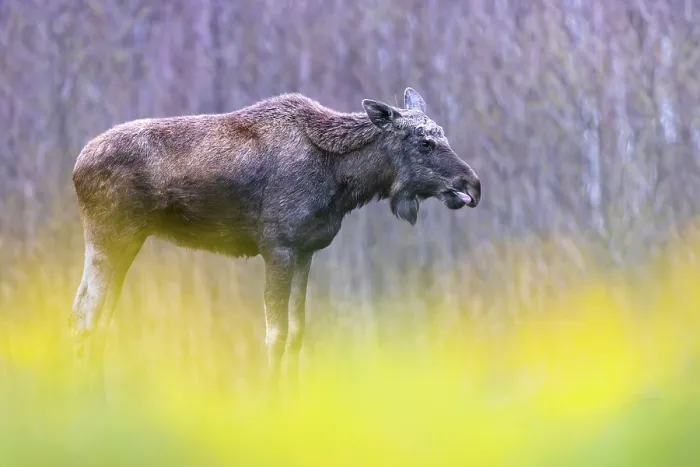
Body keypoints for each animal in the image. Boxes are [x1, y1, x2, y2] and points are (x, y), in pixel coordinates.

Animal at [70, 87, 481, 402]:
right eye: (425, 142)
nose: (472, 185)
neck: (342, 180)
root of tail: (76, 167)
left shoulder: (305, 250)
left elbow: (297, 332)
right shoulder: (278, 247)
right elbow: (276, 333)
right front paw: (270, 401)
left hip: (127, 243)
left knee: (94, 315)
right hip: (110, 238)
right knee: (86, 315)